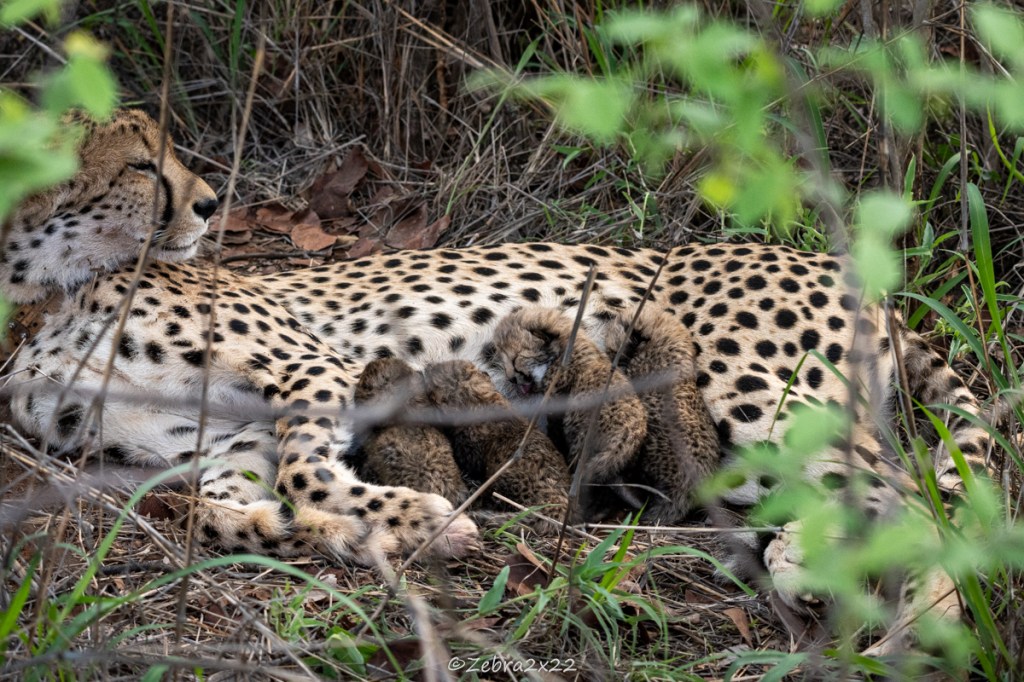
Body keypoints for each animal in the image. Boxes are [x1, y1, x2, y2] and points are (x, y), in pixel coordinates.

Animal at [490, 307, 647, 516]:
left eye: (515, 359)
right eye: (503, 359)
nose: (510, 379)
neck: (564, 349)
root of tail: (628, 434)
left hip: (582, 442)